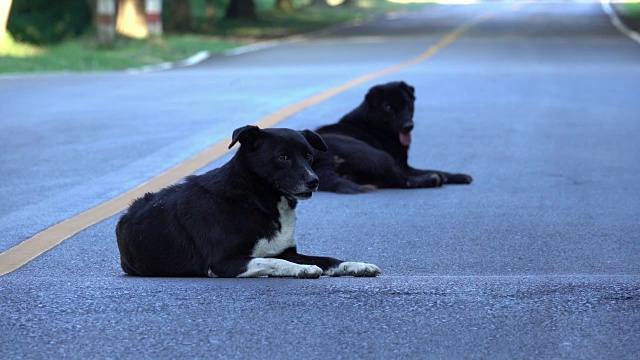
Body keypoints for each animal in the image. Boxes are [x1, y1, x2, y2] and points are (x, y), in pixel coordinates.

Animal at [115, 124, 380, 278]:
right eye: (283, 157)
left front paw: (356, 265)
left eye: (308, 155)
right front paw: (301, 269)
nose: (314, 181)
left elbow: (327, 259)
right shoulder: (223, 262)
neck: (256, 199)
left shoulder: (289, 251)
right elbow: (273, 261)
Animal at [312, 81, 472, 194]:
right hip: (381, 157)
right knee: (404, 181)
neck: (371, 124)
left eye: (407, 104)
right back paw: (432, 179)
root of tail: (321, 159)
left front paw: (460, 176)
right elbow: (436, 170)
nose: (408, 126)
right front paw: (453, 176)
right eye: (388, 107)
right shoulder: (404, 166)